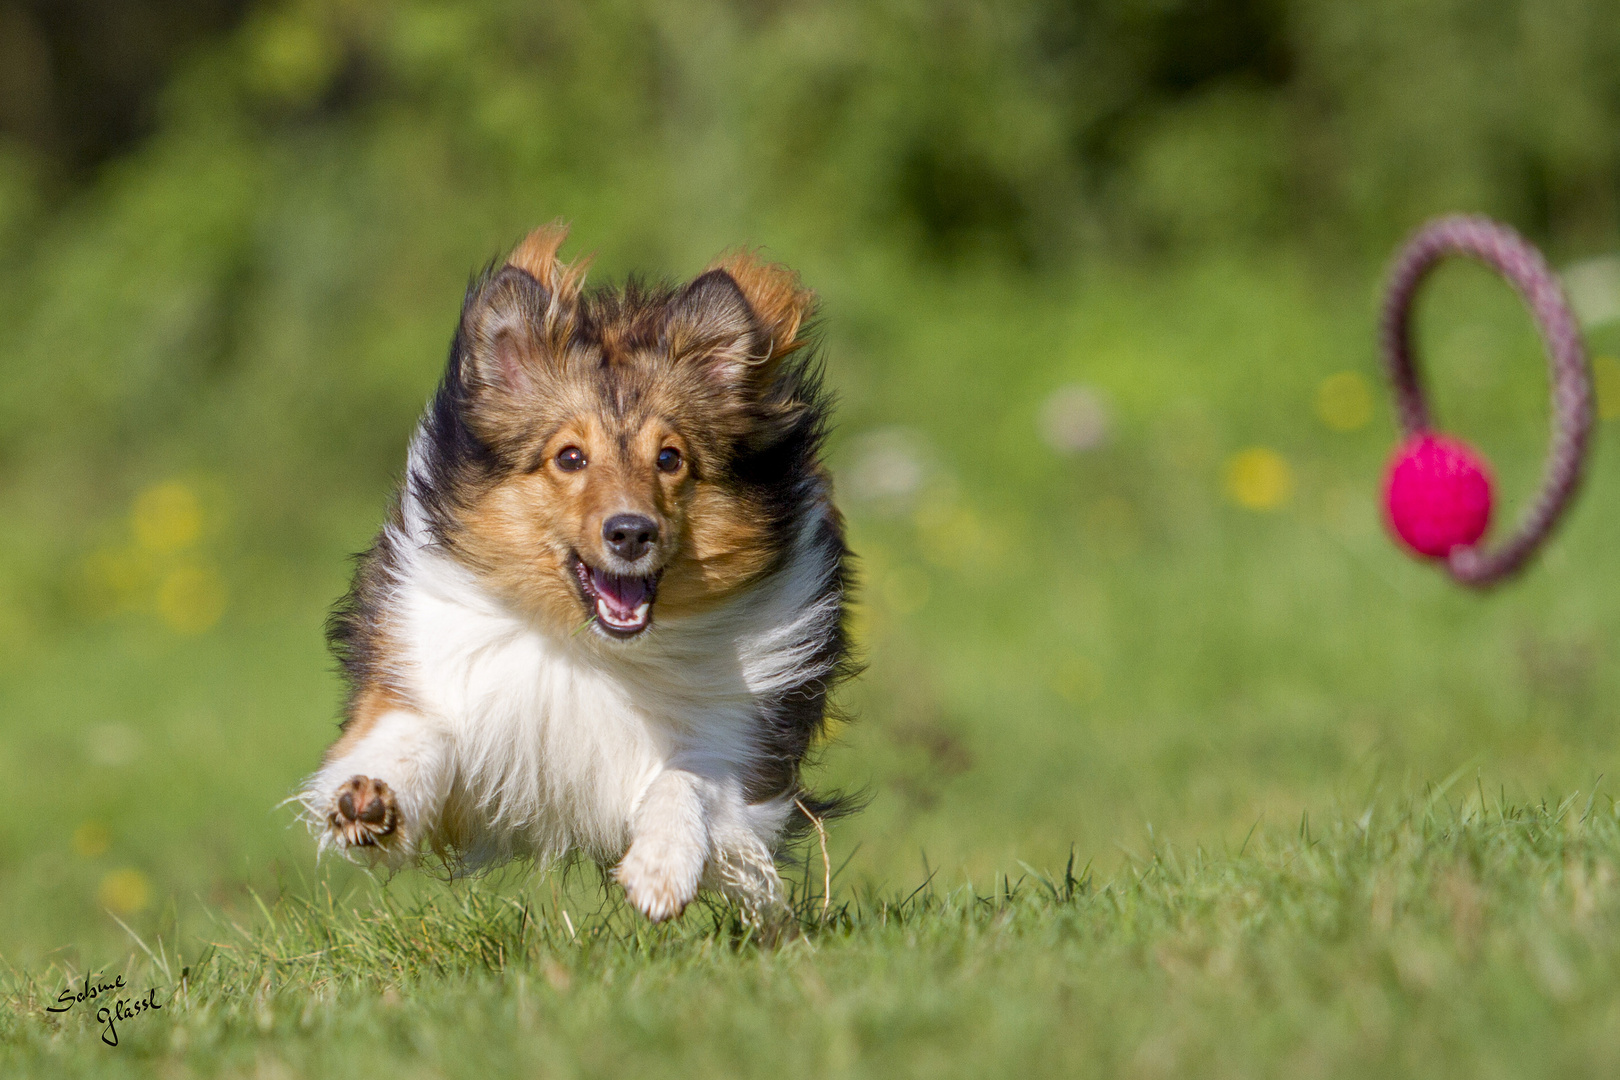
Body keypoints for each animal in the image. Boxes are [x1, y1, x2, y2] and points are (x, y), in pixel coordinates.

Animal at [306, 226, 861, 919]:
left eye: (670, 458)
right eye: (570, 457)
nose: (630, 533)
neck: (592, 650)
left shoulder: (743, 749)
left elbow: (686, 783)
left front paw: (660, 869)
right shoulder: (435, 679)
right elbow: (415, 737)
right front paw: (368, 799)